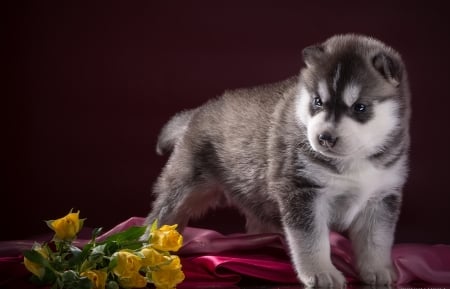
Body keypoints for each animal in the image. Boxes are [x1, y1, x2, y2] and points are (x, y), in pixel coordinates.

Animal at [146, 34, 410, 286]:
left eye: (360, 107)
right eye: (317, 101)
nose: (324, 138)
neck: (352, 162)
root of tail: (201, 109)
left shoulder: (381, 196)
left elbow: (376, 240)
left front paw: (377, 270)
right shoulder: (302, 191)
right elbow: (311, 240)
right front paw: (320, 273)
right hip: (184, 187)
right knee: (162, 216)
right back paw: (149, 249)